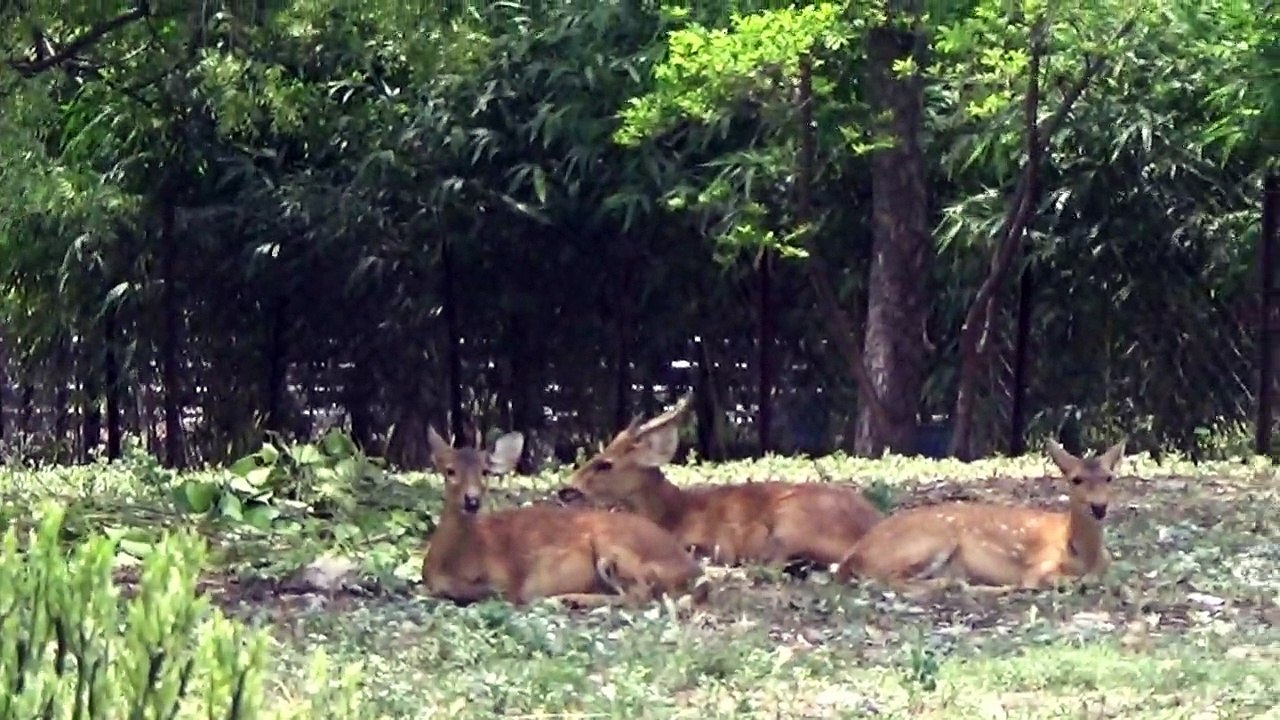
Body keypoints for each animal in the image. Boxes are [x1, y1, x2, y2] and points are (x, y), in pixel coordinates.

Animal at [420, 425, 708, 608]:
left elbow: (495, 591)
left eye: (485, 472)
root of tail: (692, 568)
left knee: (641, 595)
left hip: (616, 545)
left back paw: (570, 599)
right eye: (449, 471)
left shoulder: (509, 579)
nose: (472, 501)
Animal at [556, 392, 885, 570]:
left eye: (605, 464)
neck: (674, 513)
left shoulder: (717, 539)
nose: (566, 490)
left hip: (795, 519)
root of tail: (872, 526)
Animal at [834, 439, 1127, 594]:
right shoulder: (1038, 567)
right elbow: (1059, 581)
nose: (1099, 507)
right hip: (932, 539)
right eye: (1075, 479)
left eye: (1109, 477)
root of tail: (855, 553)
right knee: (890, 579)